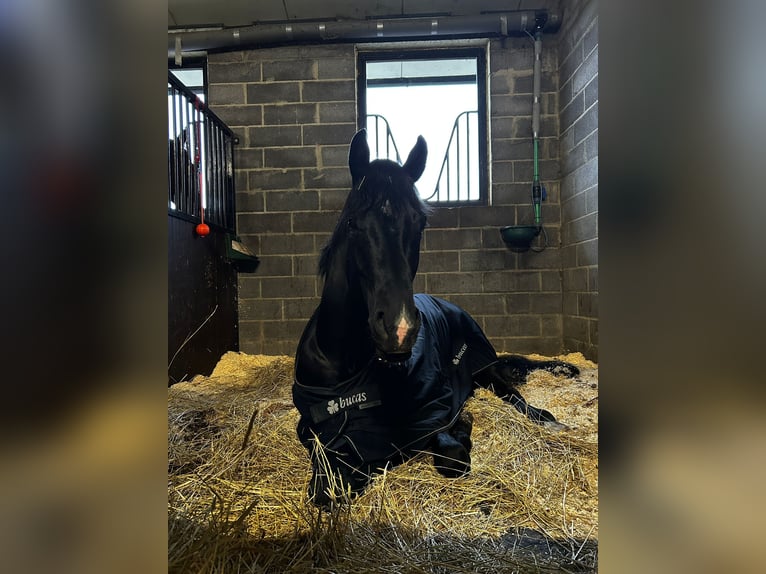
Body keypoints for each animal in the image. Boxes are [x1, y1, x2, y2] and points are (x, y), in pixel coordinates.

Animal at [292, 129, 579, 506]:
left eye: (420, 222)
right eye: (353, 223)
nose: (398, 330)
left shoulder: (437, 407)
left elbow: (452, 453)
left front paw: (463, 426)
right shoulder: (312, 427)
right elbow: (328, 482)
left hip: (482, 367)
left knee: (512, 394)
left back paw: (546, 419)